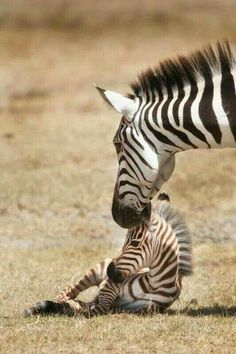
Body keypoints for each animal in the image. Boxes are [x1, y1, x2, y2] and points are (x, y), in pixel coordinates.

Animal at [24, 194, 193, 318]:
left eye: (135, 243)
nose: (109, 272)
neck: (155, 282)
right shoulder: (109, 285)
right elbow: (101, 305)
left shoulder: (148, 308)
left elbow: (103, 307)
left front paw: (78, 311)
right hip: (94, 271)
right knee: (69, 291)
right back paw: (43, 306)